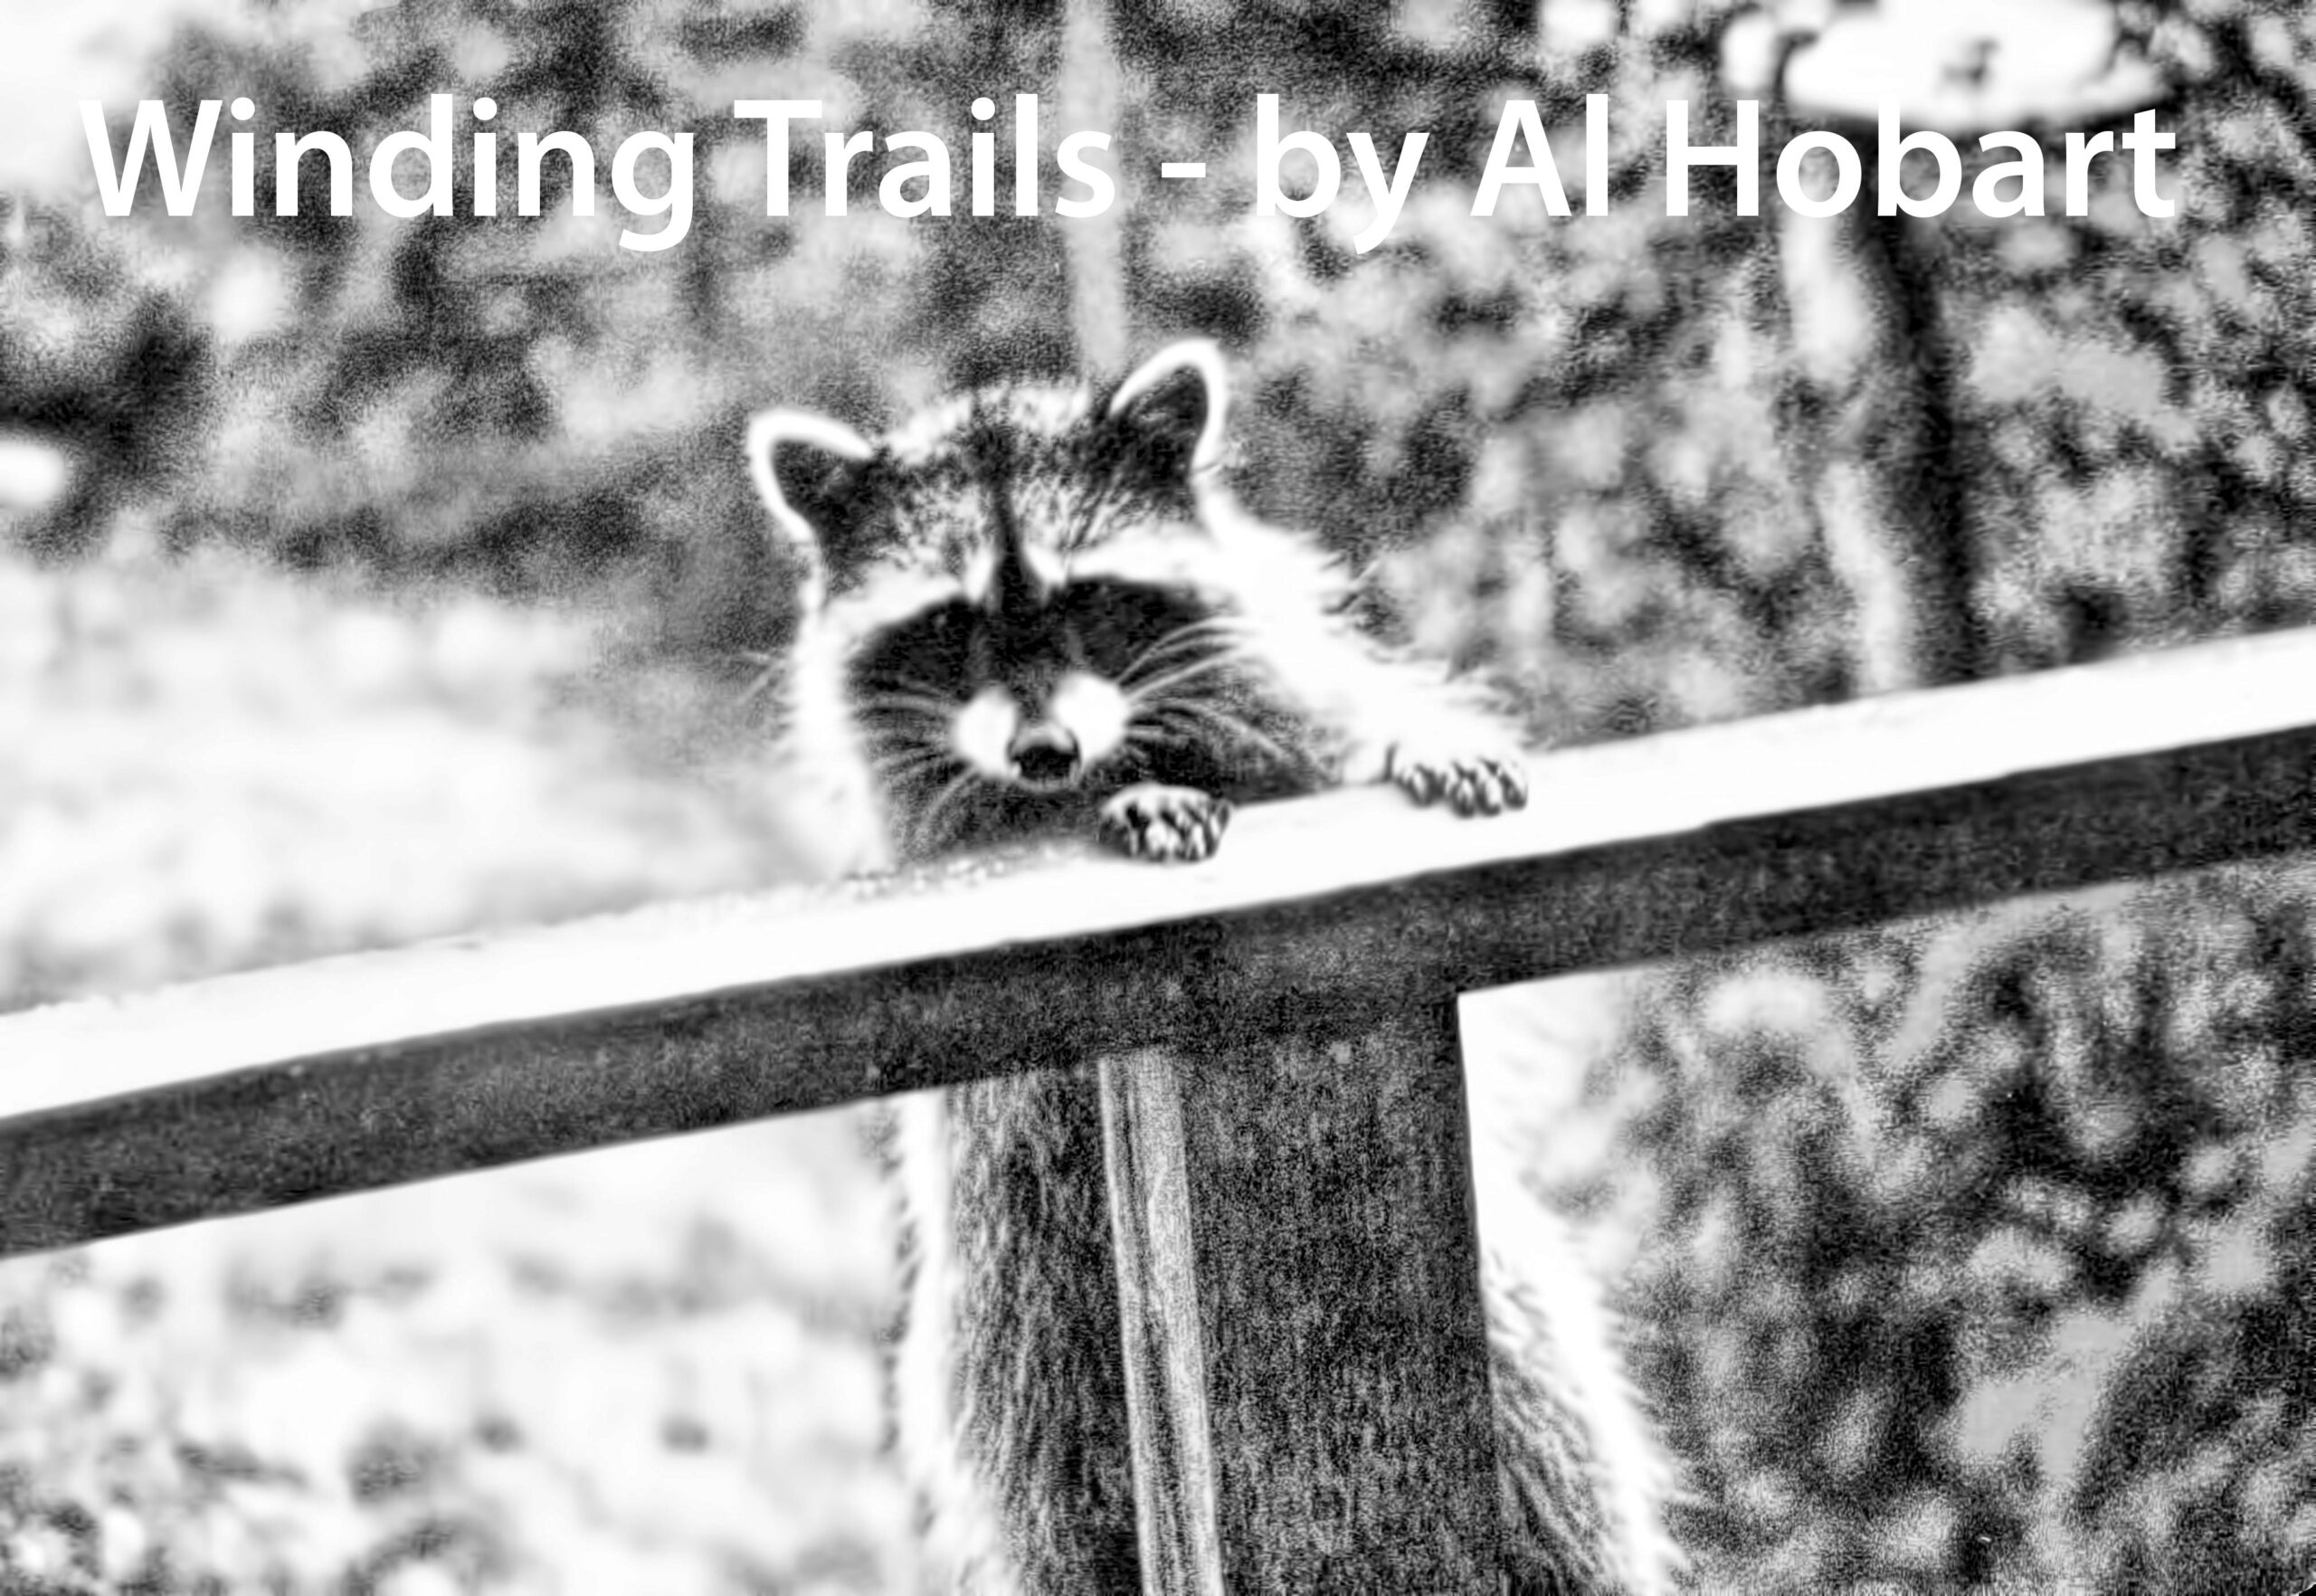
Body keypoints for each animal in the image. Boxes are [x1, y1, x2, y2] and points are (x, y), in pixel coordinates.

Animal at [750, 341, 1680, 1594]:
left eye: (1088, 597)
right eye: (950, 623)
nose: (1045, 752)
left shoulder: (1279, 710)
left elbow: (1345, 735)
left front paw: (1412, 742)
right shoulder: (944, 839)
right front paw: (1119, 801)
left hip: (1510, 1340)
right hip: (1022, 1359)